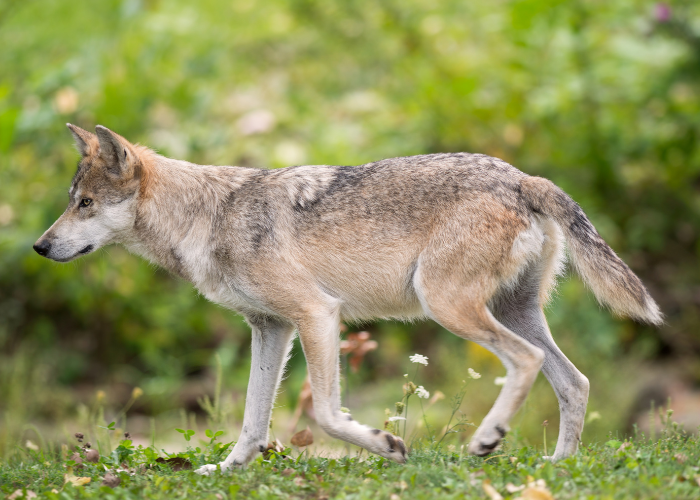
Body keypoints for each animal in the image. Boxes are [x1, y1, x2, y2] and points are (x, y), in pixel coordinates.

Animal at [34, 124, 661, 472]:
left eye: (85, 204)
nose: (39, 246)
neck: (206, 217)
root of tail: (522, 177)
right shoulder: (270, 329)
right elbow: (252, 421)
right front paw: (227, 470)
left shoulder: (317, 316)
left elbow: (330, 415)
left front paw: (388, 446)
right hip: (515, 313)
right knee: (574, 382)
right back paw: (557, 467)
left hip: (450, 308)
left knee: (528, 364)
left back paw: (487, 441)